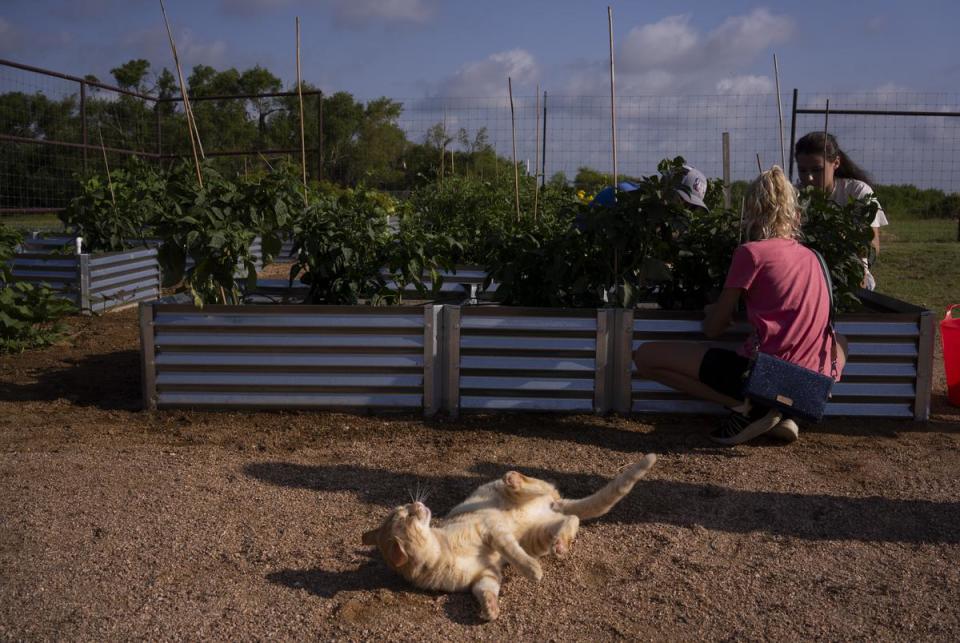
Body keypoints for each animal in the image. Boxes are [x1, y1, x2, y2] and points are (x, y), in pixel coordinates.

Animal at [364, 456, 656, 620]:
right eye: (406, 515)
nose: (416, 504)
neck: (441, 553)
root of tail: (553, 504)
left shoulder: (491, 530)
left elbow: (513, 553)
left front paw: (532, 571)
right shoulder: (487, 575)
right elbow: (487, 592)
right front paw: (490, 611)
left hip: (521, 495)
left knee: (538, 487)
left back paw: (515, 479)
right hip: (538, 536)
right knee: (571, 519)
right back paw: (561, 543)